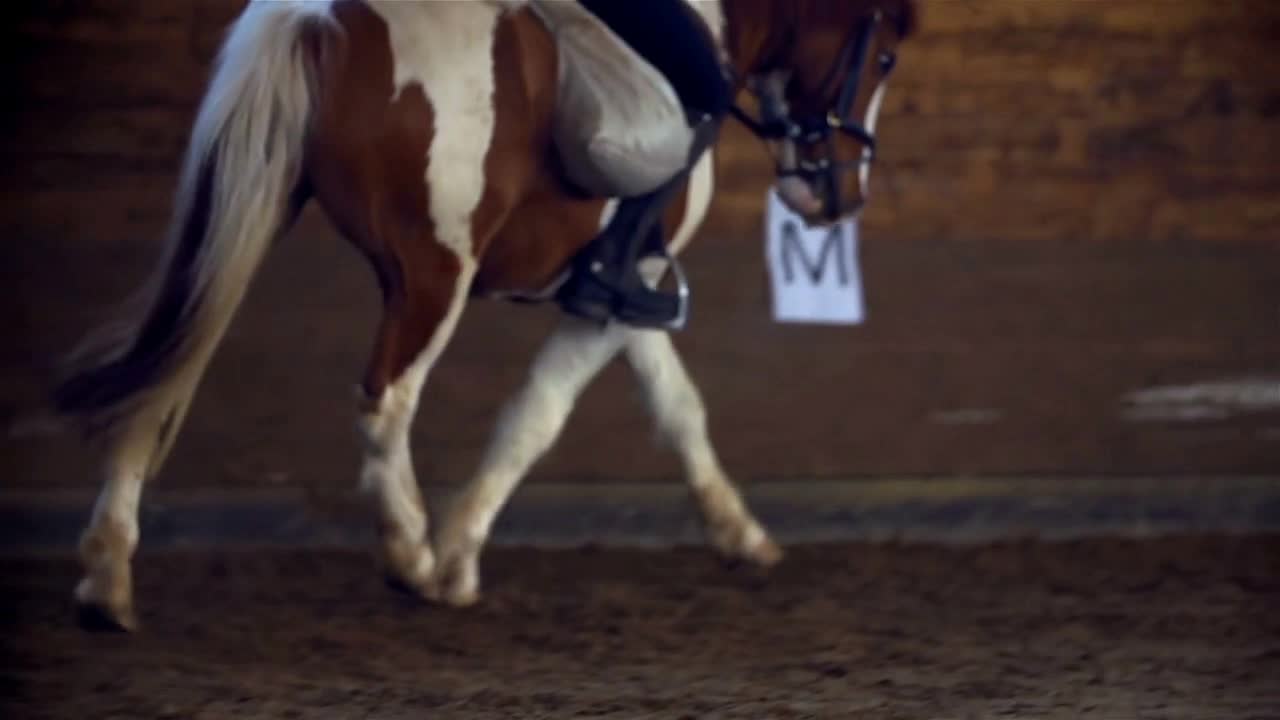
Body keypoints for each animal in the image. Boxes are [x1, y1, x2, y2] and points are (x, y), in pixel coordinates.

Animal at [47, 0, 921, 627]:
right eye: (881, 56)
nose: (840, 198)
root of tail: (322, 17)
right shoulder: (614, 286)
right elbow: (536, 415)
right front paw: (457, 557)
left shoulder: (622, 291)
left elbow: (677, 405)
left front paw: (740, 534)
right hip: (434, 271)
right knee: (385, 399)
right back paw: (410, 557)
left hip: (246, 210)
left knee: (164, 370)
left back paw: (106, 577)